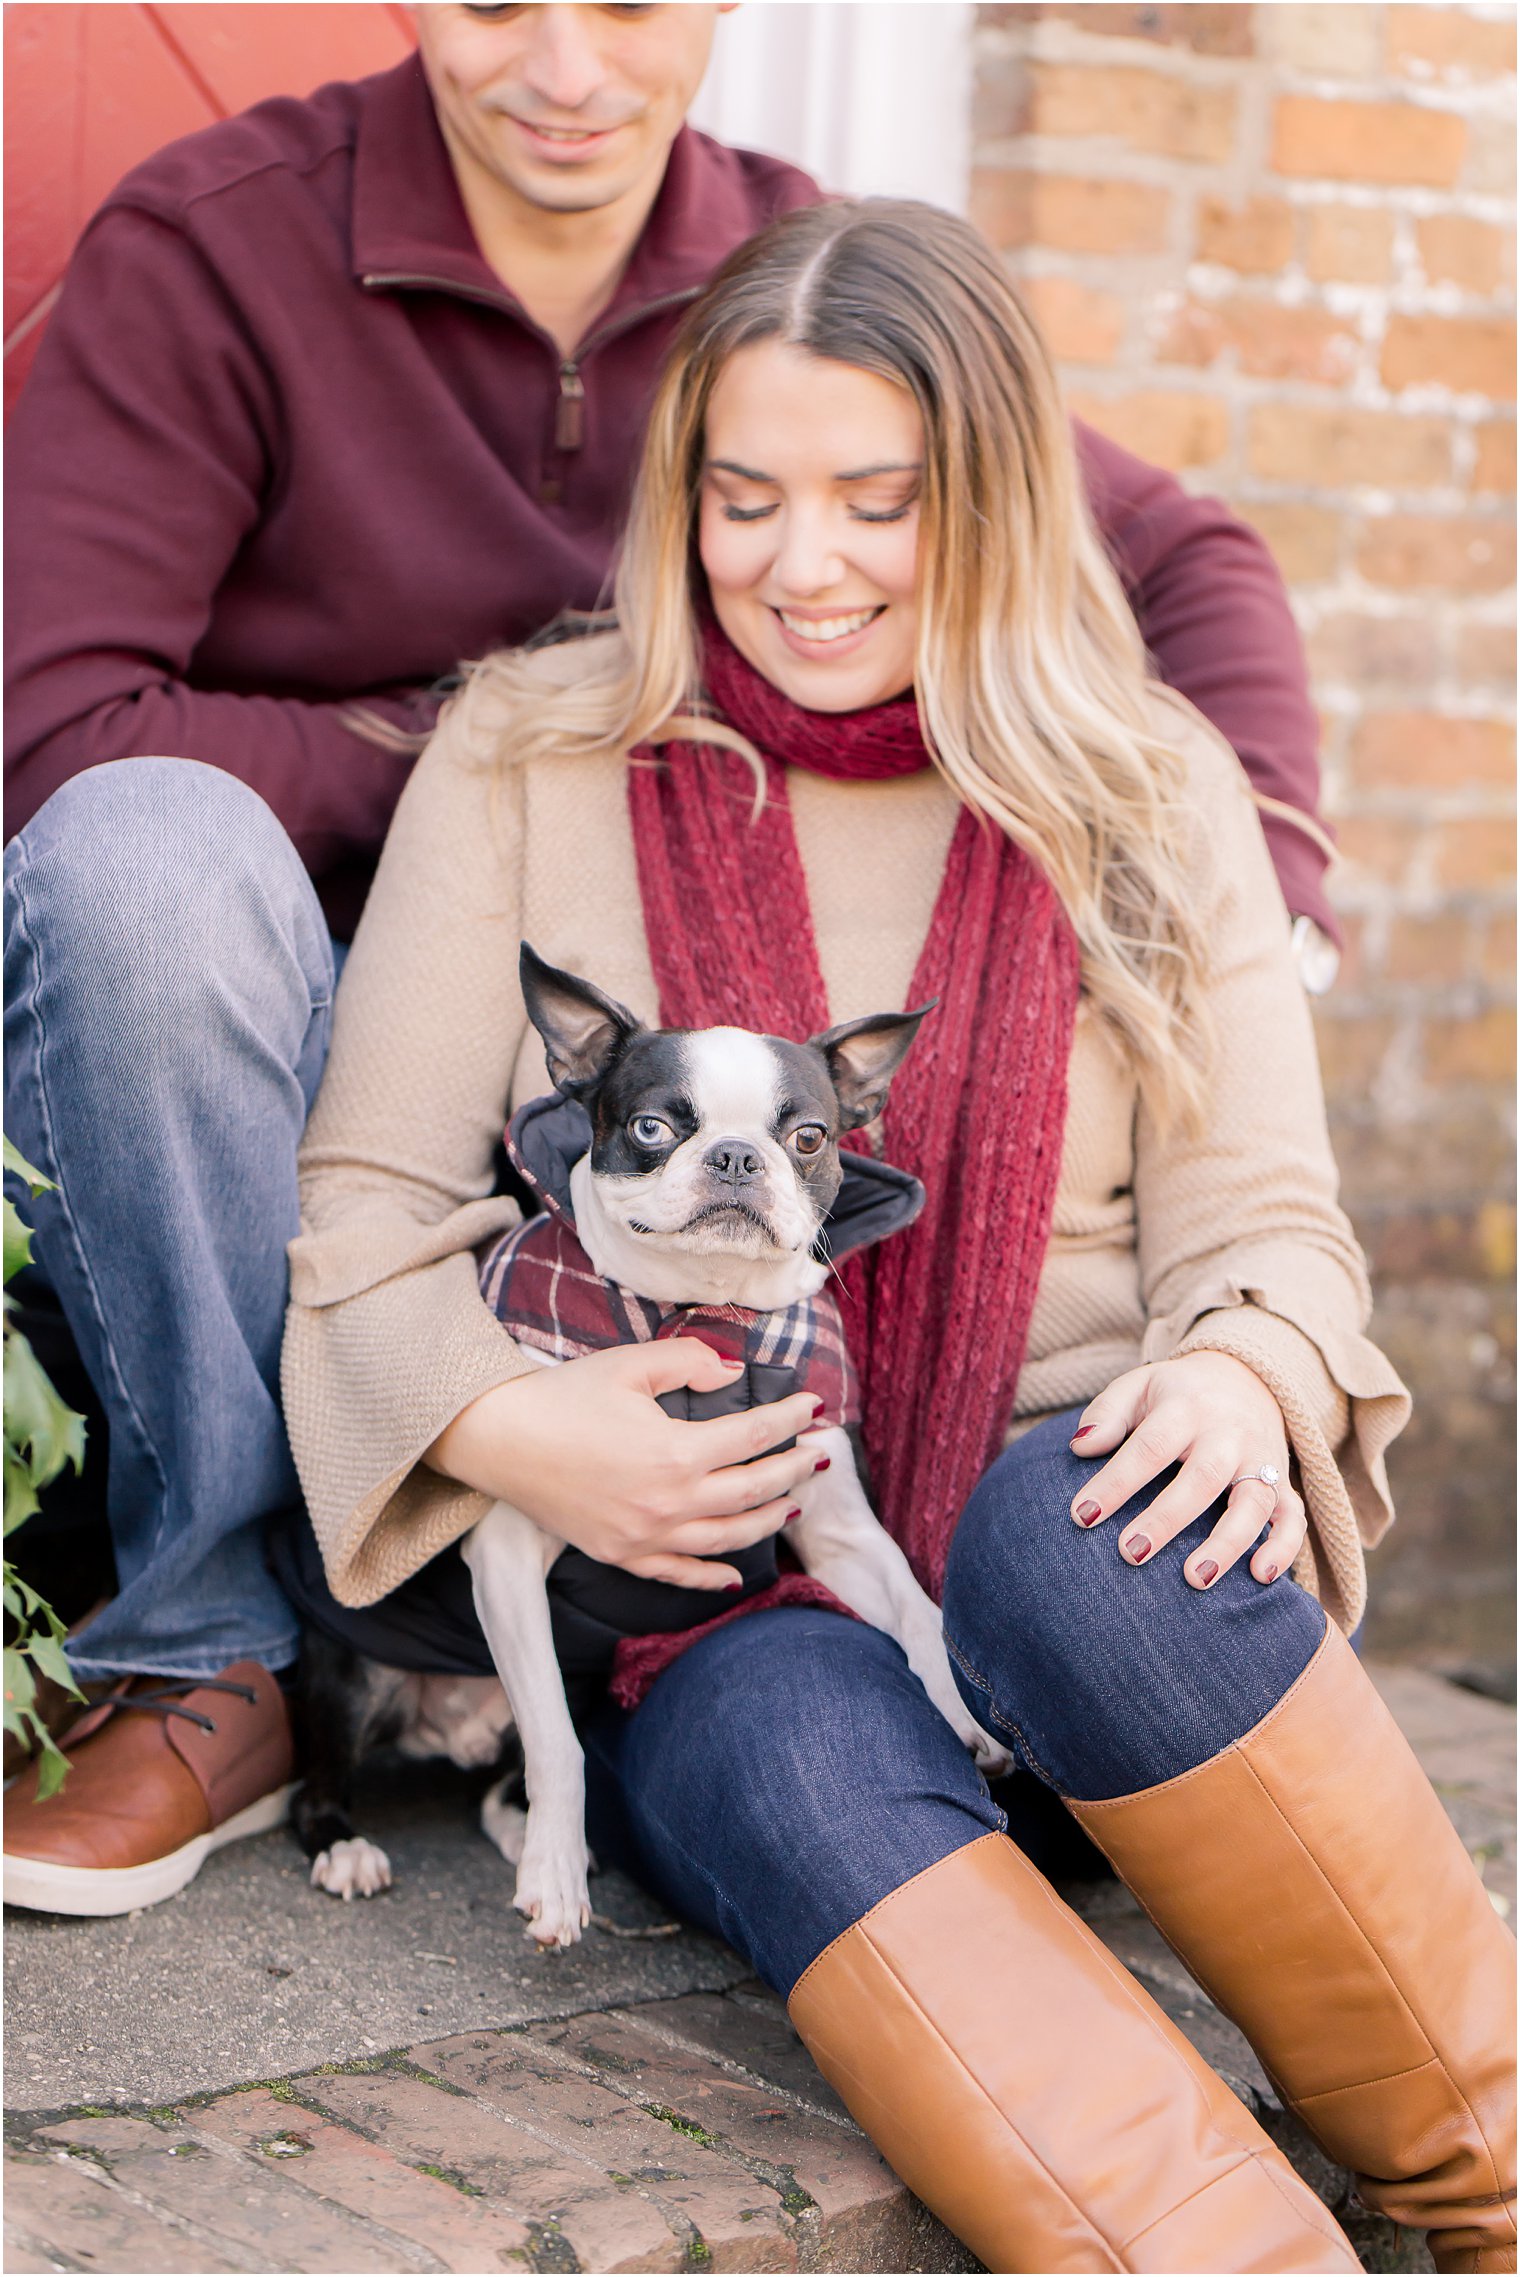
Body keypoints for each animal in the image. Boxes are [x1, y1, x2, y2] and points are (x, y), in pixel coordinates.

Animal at [291, 942, 1014, 1940]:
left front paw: (962, 1708)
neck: (705, 1319)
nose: (736, 1155)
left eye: (810, 1138)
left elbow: (915, 1604)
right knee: (329, 1783)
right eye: (650, 1127)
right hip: (354, 1670)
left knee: (502, 1776)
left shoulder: (840, 1534)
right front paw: (556, 1878)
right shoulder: (509, 1555)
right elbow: (559, 1746)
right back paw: (351, 1846)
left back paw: (514, 1823)